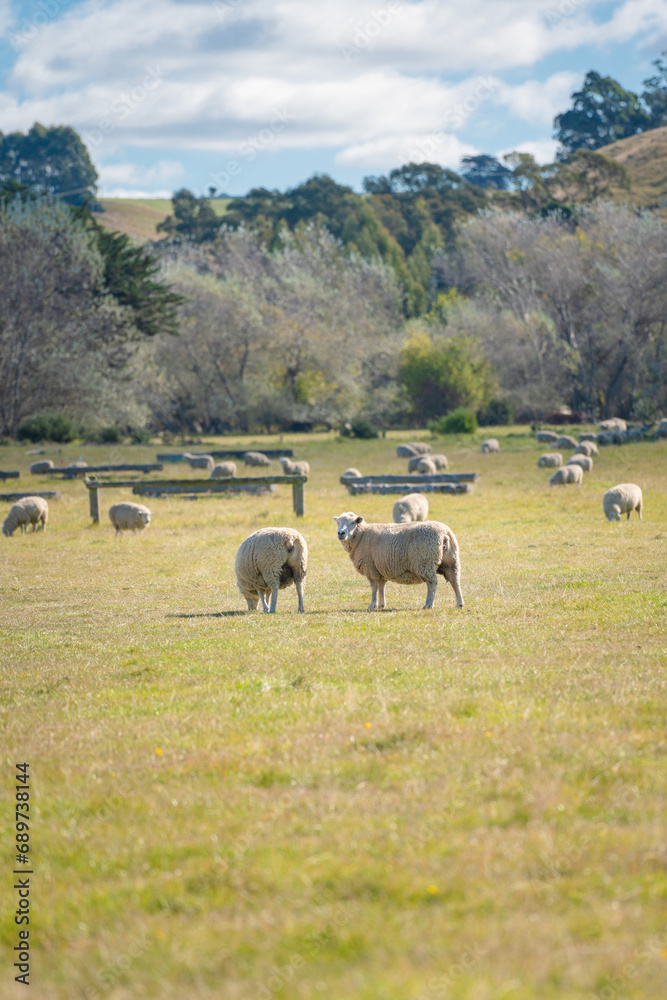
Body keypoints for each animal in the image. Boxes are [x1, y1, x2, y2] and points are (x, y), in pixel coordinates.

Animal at [333, 512, 463, 611]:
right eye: (338, 523)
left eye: (353, 523)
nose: (341, 533)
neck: (361, 536)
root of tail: (444, 533)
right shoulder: (380, 569)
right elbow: (381, 587)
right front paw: (381, 605)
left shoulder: (371, 568)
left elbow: (374, 587)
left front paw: (372, 605)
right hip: (451, 561)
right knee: (455, 581)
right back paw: (459, 604)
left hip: (425, 562)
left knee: (432, 583)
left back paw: (428, 604)